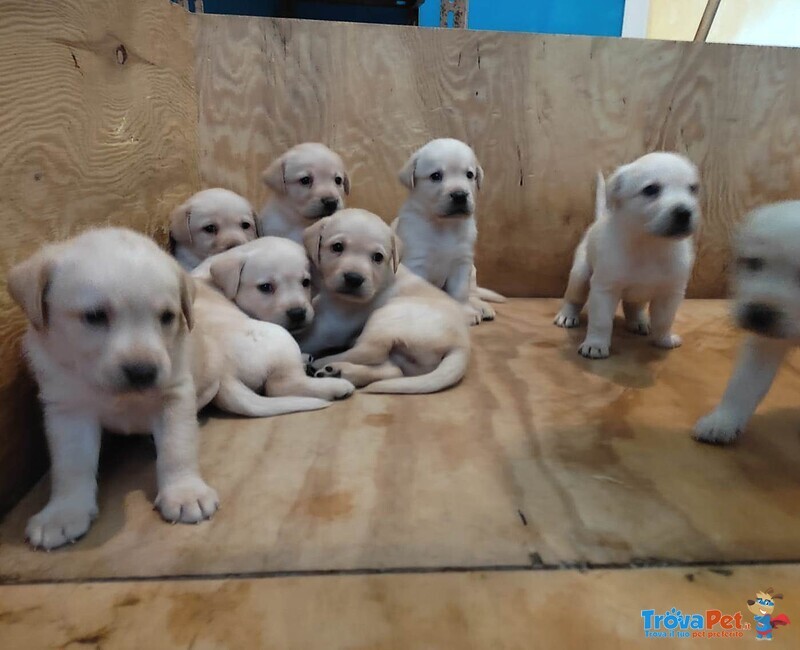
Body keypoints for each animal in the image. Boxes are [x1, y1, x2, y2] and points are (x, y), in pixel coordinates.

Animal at [7, 228, 219, 548]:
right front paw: (63, 512)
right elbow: (71, 465)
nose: (143, 372)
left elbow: (177, 448)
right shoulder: (68, 410)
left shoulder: (175, 394)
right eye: (95, 316)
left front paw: (185, 492)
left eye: (167, 317)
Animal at [300, 209, 468, 390]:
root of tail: (462, 345)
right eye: (337, 247)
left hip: (387, 314)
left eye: (378, 257)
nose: (354, 278)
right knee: (393, 370)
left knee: (371, 351)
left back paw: (320, 363)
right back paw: (338, 371)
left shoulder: (331, 324)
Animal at [392, 137, 504, 324]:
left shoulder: (461, 264)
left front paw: (465, 312)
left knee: (473, 293)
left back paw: (481, 307)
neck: (444, 226)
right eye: (436, 176)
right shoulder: (416, 263)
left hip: (473, 272)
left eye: (469, 175)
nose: (460, 195)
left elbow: (460, 293)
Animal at [556, 151, 700, 360]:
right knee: (572, 298)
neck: (651, 245)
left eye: (693, 189)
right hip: (580, 276)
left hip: (639, 295)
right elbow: (601, 321)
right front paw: (595, 344)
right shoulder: (605, 290)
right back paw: (567, 315)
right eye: (651, 190)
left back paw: (639, 321)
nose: (684, 212)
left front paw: (664, 339)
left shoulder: (670, 293)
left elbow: (664, 320)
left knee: (633, 306)